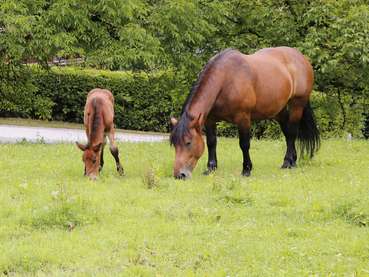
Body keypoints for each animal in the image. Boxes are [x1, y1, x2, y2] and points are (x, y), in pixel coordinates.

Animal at [170, 46, 320, 179]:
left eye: (188, 142)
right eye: (174, 144)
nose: (179, 175)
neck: (226, 80)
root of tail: (301, 57)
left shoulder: (243, 119)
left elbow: (244, 144)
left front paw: (246, 170)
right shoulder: (210, 120)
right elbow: (211, 142)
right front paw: (211, 168)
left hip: (297, 104)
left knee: (293, 132)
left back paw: (290, 163)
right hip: (278, 110)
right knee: (288, 133)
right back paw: (290, 160)